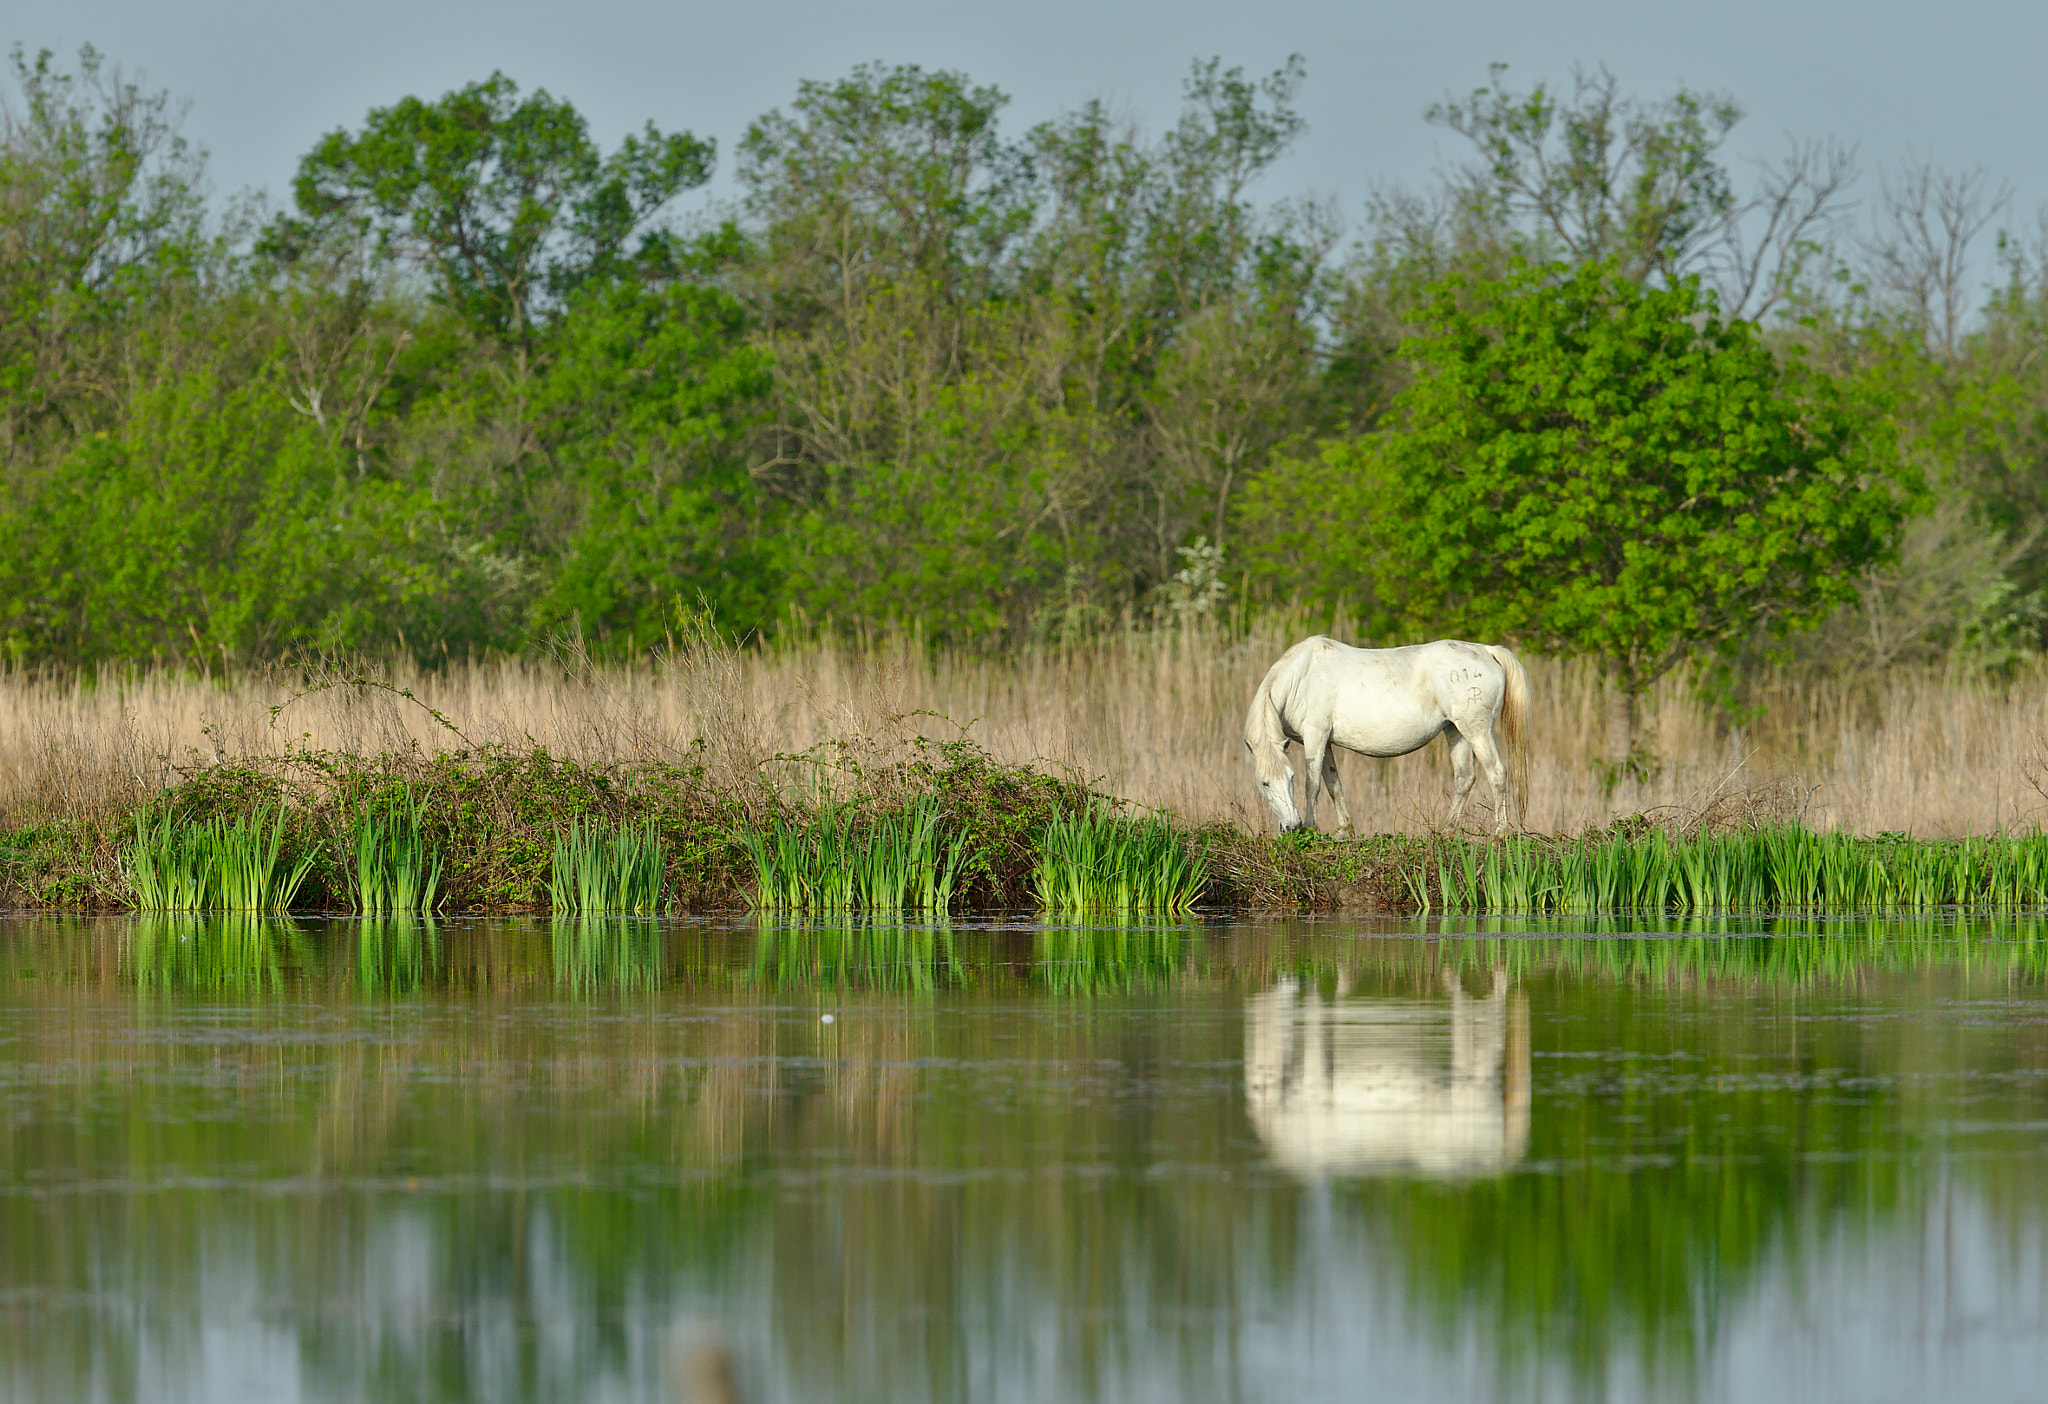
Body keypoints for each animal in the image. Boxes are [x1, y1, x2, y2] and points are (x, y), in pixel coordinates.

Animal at [1236, 638, 1531, 835]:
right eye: (1265, 783)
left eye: (1291, 778)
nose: (1292, 826)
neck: (1301, 677)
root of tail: (1486, 650)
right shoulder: (1325, 742)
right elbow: (1333, 784)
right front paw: (1344, 831)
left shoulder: (1315, 736)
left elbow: (1314, 786)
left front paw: (1312, 829)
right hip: (1455, 731)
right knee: (1465, 778)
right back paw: (1446, 831)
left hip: (1476, 730)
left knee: (1497, 774)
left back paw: (1500, 833)